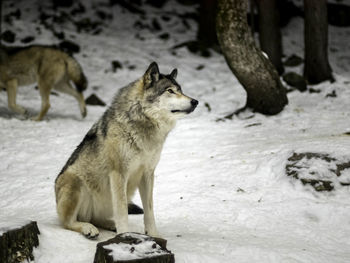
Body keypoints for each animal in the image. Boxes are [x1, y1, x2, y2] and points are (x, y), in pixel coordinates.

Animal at [54, 62, 197, 239]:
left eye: (181, 90)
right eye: (170, 91)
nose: (195, 102)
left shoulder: (148, 173)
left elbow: (149, 211)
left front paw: (154, 235)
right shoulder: (118, 174)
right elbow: (122, 211)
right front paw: (124, 235)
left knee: (97, 218)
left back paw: (109, 225)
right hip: (73, 181)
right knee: (68, 222)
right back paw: (89, 229)